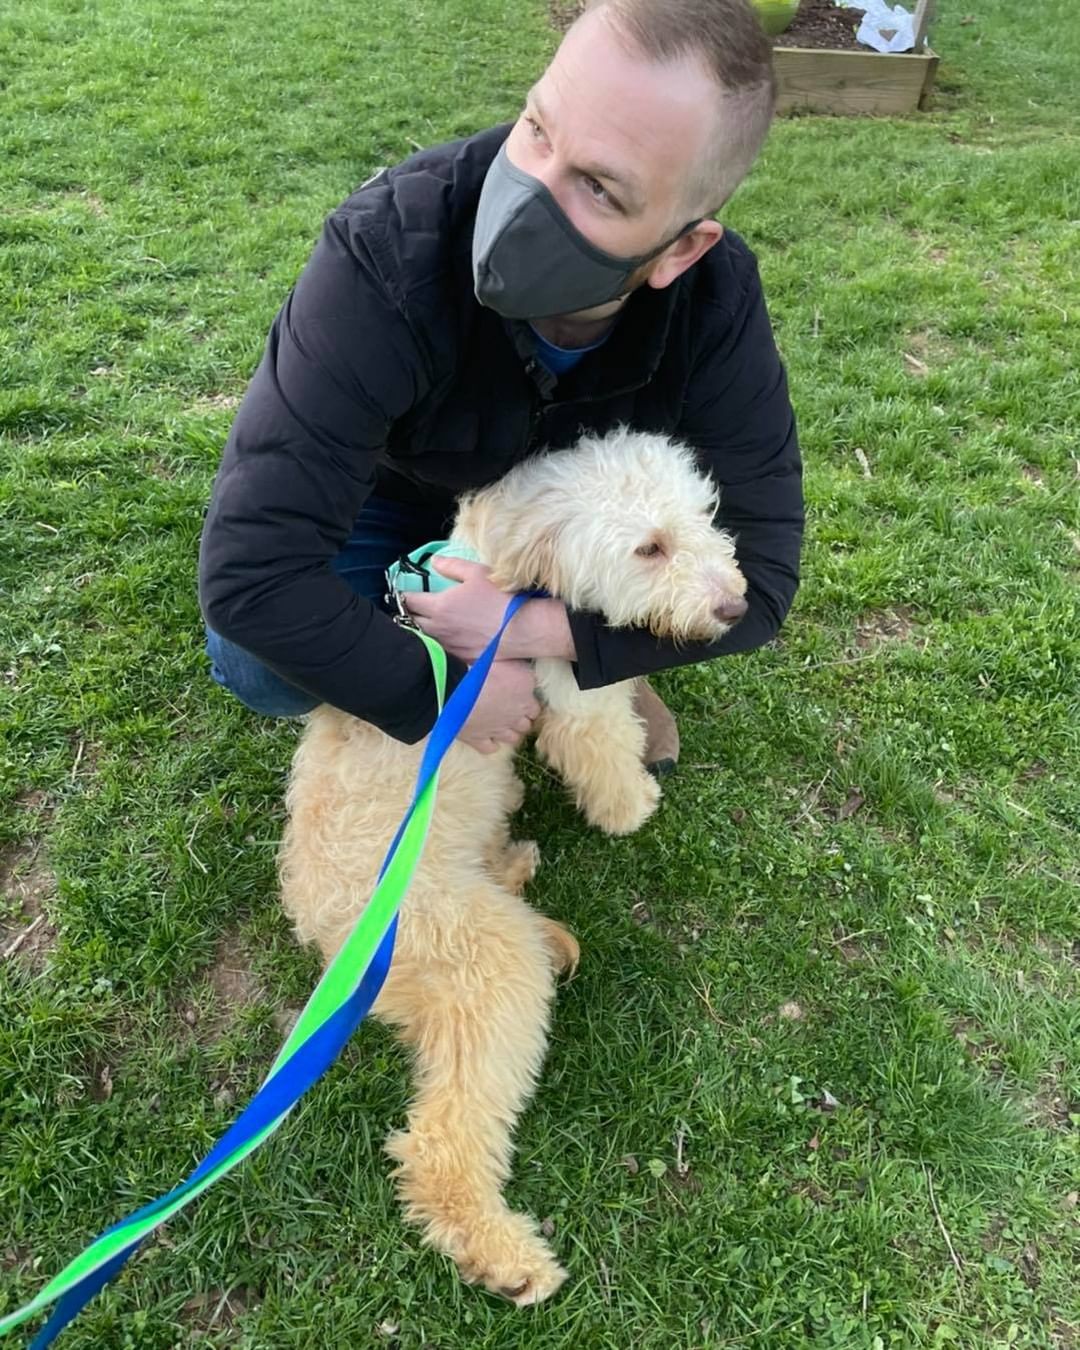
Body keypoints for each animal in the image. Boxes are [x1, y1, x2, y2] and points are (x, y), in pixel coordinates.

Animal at [278, 426, 745, 1301]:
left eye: (704, 516)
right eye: (649, 547)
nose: (734, 606)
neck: (501, 561)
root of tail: (322, 933)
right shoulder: (570, 692)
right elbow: (604, 748)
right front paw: (631, 808)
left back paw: (517, 861)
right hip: (482, 964)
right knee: (440, 1143)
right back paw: (502, 1255)